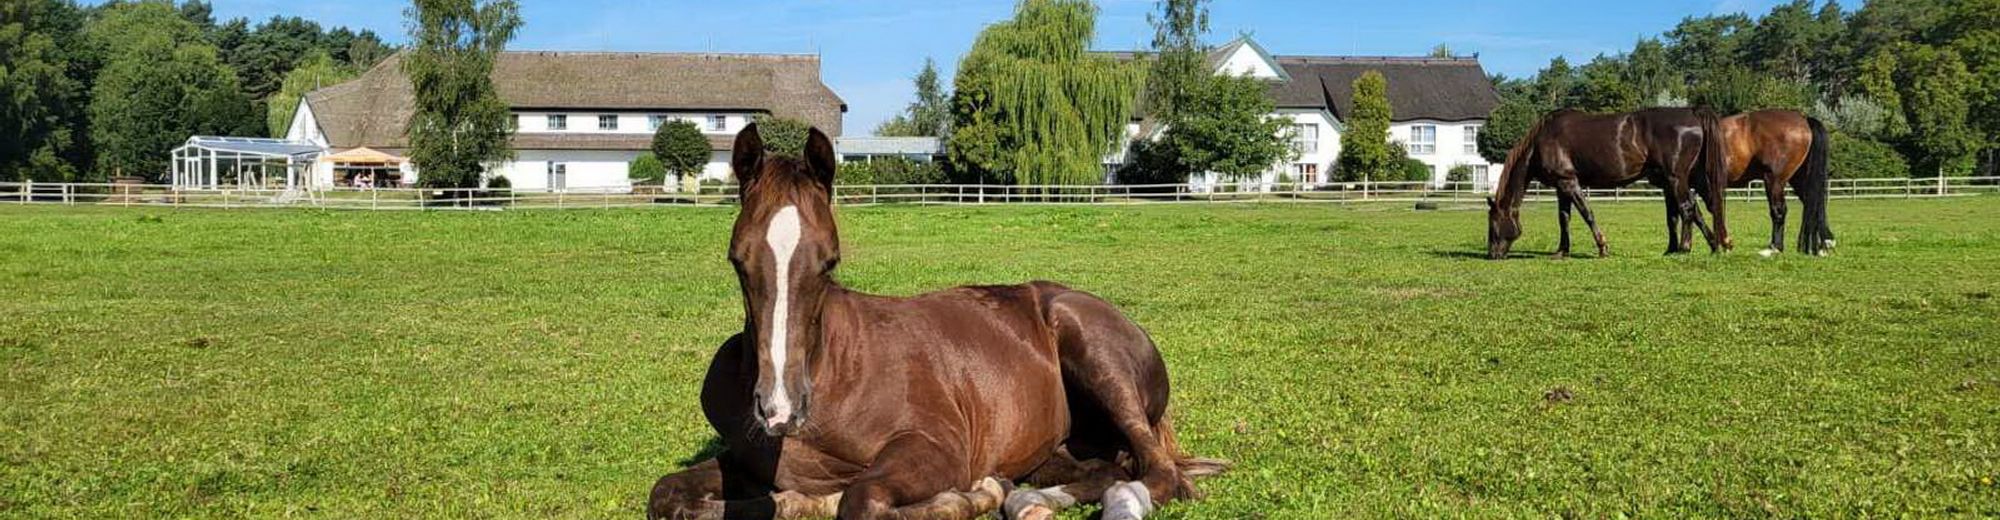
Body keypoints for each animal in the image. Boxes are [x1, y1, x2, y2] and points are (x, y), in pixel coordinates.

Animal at [647, 124, 1223, 520]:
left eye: (829, 261)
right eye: (737, 261)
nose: (779, 410)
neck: (834, 371)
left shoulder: (939, 449)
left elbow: (861, 500)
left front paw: (969, 497)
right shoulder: (744, 464)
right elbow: (667, 493)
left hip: (1095, 353)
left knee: (1157, 473)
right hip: (1061, 446)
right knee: (1104, 470)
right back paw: (1030, 498)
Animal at [1487, 107, 1731, 260]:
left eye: (1493, 223)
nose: (1492, 254)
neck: (1541, 143)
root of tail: (1692, 112)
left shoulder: (1568, 183)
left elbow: (1587, 214)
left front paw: (1602, 247)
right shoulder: (1561, 187)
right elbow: (1564, 219)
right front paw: (1562, 251)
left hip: (1676, 178)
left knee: (1688, 209)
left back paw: (1685, 247)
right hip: (1686, 179)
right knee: (1701, 209)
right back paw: (1713, 245)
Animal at [1684, 109, 1836, 256]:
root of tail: (1804, 119)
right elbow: (1697, 213)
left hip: (1774, 180)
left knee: (1779, 210)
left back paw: (1774, 248)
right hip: (1797, 179)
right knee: (1813, 203)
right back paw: (1826, 244)